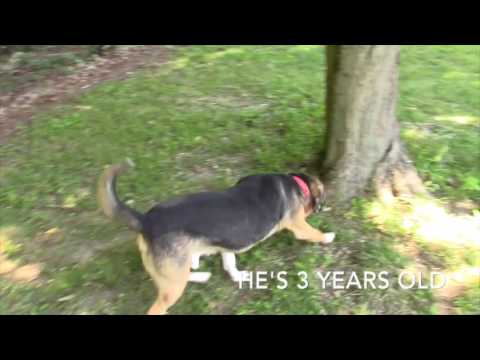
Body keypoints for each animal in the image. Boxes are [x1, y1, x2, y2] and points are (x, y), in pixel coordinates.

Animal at [97, 159, 334, 314]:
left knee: (182, 274)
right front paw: (328, 236)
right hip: (173, 281)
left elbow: (230, 264)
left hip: (174, 271)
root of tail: (146, 220)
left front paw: (238, 276)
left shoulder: (227, 246)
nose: (325, 207)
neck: (296, 184)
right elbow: (314, 233)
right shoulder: (299, 225)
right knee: (159, 304)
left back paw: (201, 274)